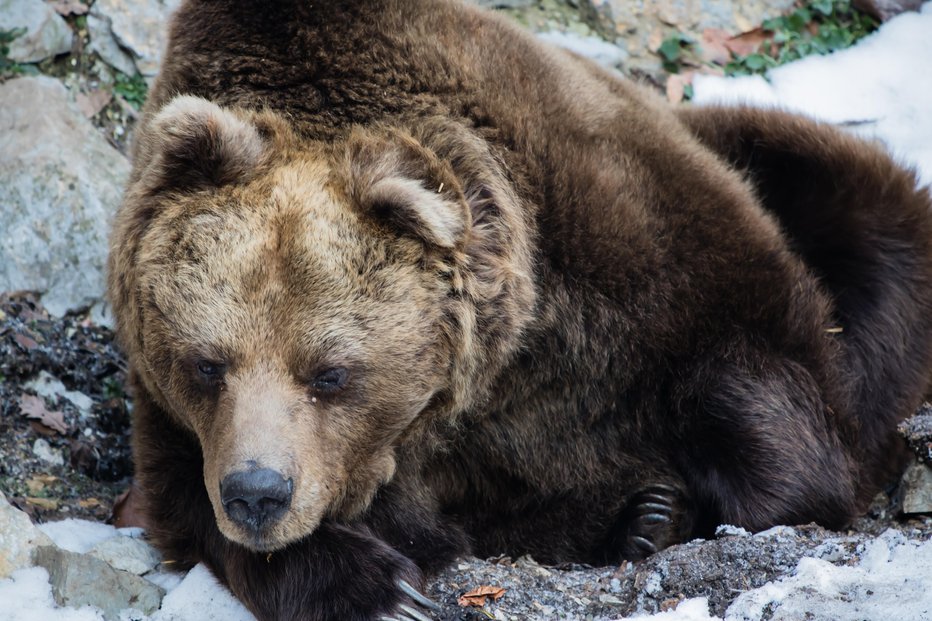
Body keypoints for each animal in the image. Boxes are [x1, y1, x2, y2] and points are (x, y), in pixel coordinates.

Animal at [105, 1, 932, 620]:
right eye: (207, 364)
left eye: (332, 372)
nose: (257, 493)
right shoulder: (171, 409)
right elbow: (186, 503)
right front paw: (381, 584)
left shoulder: (629, 246)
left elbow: (783, 424)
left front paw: (677, 508)